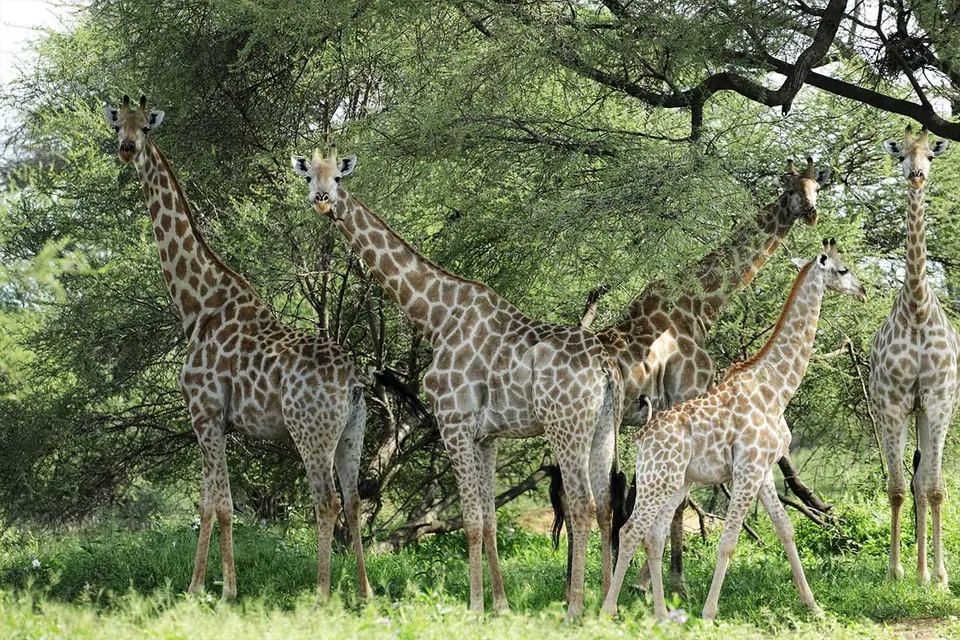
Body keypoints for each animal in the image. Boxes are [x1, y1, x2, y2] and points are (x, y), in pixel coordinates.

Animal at [103, 96, 371, 601]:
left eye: (146, 126)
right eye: (117, 126)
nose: (127, 148)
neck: (197, 304)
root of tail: (352, 381)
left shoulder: (204, 411)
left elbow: (220, 505)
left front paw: (216, 589)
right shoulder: (220, 422)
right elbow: (210, 502)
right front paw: (205, 586)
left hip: (310, 432)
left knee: (325, 502)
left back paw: (322, 595)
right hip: (352, 433)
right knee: (352, 501)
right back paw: (364, 595)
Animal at [292, 147, 623, 618]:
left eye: (338, 177)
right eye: (308, 178)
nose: (321, 200)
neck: (435, 317)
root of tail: (606, 366)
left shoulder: (453, 423)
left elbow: (469, 520)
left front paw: (475, 607)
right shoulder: (487, 436)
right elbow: (489, 518)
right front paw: (500, 605)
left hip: (566, 425)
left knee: (581, 504)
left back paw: (574, 609)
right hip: (603, 428)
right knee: (607, 505)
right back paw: (606, 607)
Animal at [555, 157, 831, 593]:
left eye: (816, 189)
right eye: (789, 190)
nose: (810, 212)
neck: (700, 306)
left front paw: (649, 578)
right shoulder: (687, 395)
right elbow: (680, 500)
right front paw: (671, 579)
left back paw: (576, 580)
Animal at [602, 239, 866, 621]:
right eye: (842, 269)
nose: (862, 291)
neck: (777, 388)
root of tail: (642, 437)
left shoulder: (765, 469)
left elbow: (786, 530)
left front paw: (813, 605)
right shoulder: (747, 468)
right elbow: (728, 541)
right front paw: (709, 612)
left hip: (675, 482)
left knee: (653, 535)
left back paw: (662, 614)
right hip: (659, 479)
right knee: (630, 529)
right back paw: (609, 609)